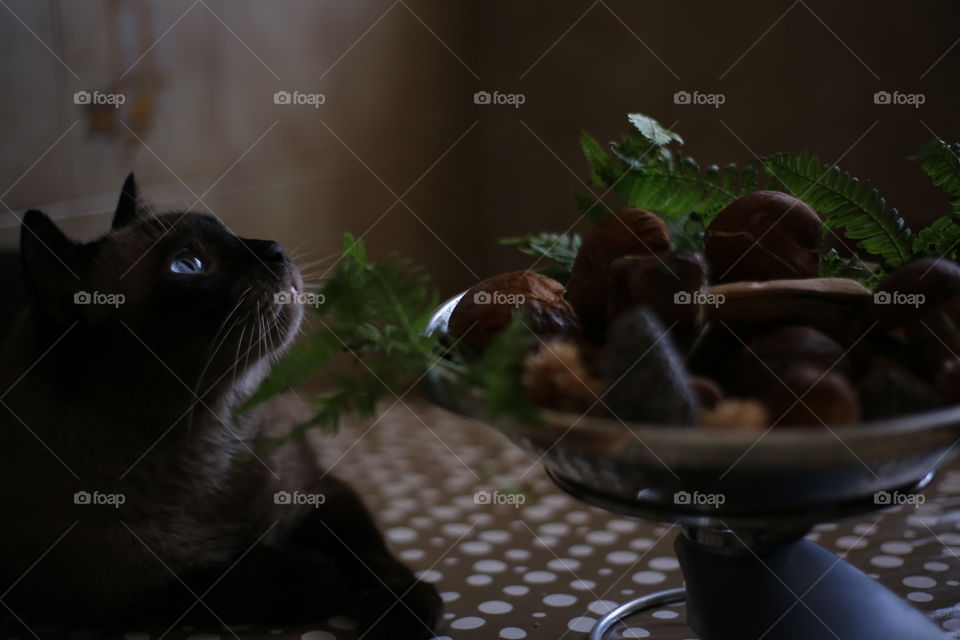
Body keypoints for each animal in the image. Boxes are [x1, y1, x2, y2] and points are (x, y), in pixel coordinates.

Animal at [0, 176, 442, 640]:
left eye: (230, 232)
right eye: (188, 265)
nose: (275, 248)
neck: (208, 439)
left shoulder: (320, 491)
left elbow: (370, 552)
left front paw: (404, 610)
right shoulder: (118, 593)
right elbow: (246, 575)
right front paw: (316, 571)